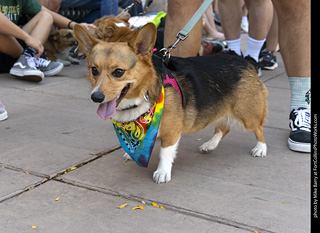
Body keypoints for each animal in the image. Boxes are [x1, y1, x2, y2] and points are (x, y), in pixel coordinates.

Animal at [74, 23, 268, 184]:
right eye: (94, 70)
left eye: (118, 72)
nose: (96, 97)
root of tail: (246, 62)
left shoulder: (172, 132)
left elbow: (165, 152)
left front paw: (162, 173)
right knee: (223, 128)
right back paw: (209, 145)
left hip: (247, 114)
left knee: (258, 129)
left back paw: (260, 149)